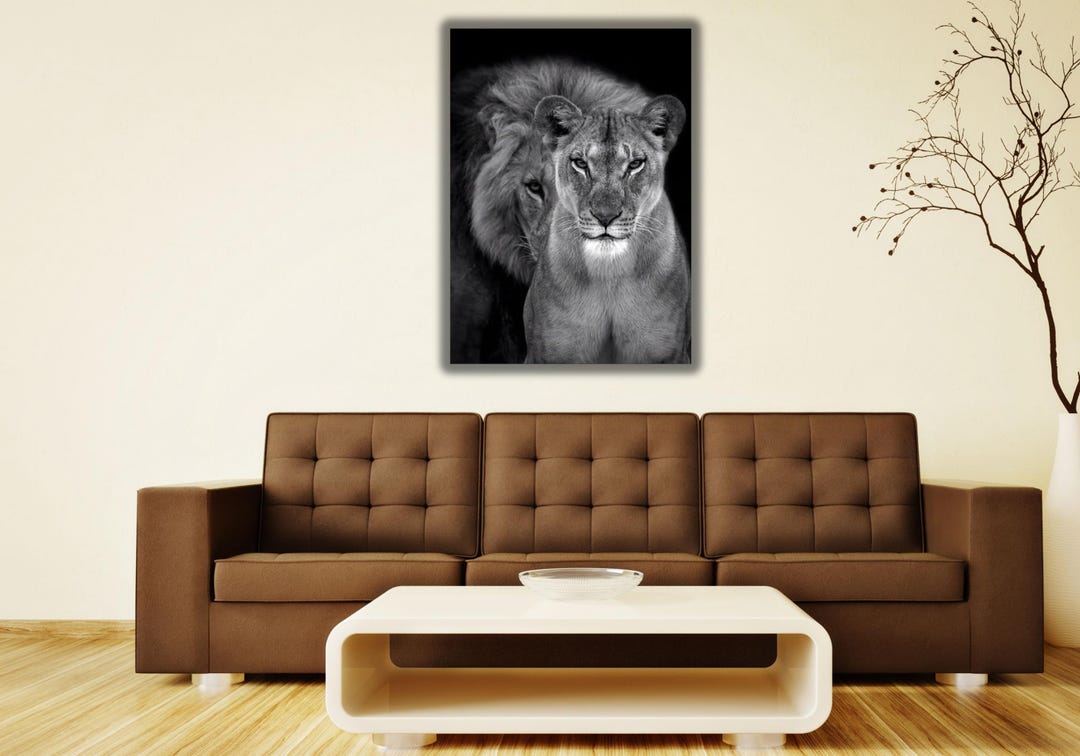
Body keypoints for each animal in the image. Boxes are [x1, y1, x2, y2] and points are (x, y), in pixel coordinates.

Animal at [524, 95, 690, 364]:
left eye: (635, 164)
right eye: (581, 163)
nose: (605, 217)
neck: (608, 273)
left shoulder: (670, 353)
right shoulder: (545, 354)